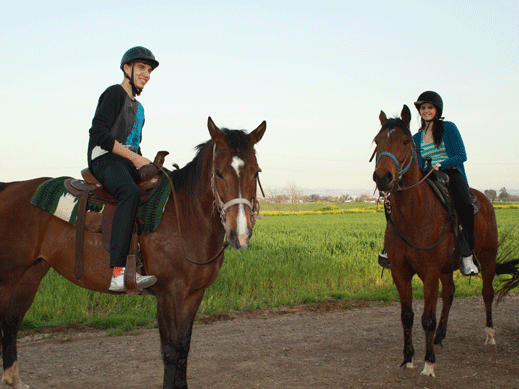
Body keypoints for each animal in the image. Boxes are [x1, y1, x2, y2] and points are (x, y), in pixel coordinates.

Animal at [0, 116, 266, 386]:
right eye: (218, 173)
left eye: (256, 172)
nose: (240, 233)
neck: (186, 214)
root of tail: (9, 187)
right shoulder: (169, 294)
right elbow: (170, 350)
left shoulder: (194, 294)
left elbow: (183, 348)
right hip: (8, 276)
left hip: (31, 274)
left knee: (11, 323)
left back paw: (14, 379)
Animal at [372, 104, 506, 378]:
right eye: (377, 141)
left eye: (405, 141)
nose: (383, 178)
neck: (414, 214)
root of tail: (484, 199)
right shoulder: (401, 273)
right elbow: (407, 315)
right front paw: (408, 358)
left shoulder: (430, 273)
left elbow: (427, 319)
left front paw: (429, 364)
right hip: (447, 267)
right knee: (450, 294)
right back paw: (440, 338)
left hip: (487, 259)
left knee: (487, 294)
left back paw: (490, 338)